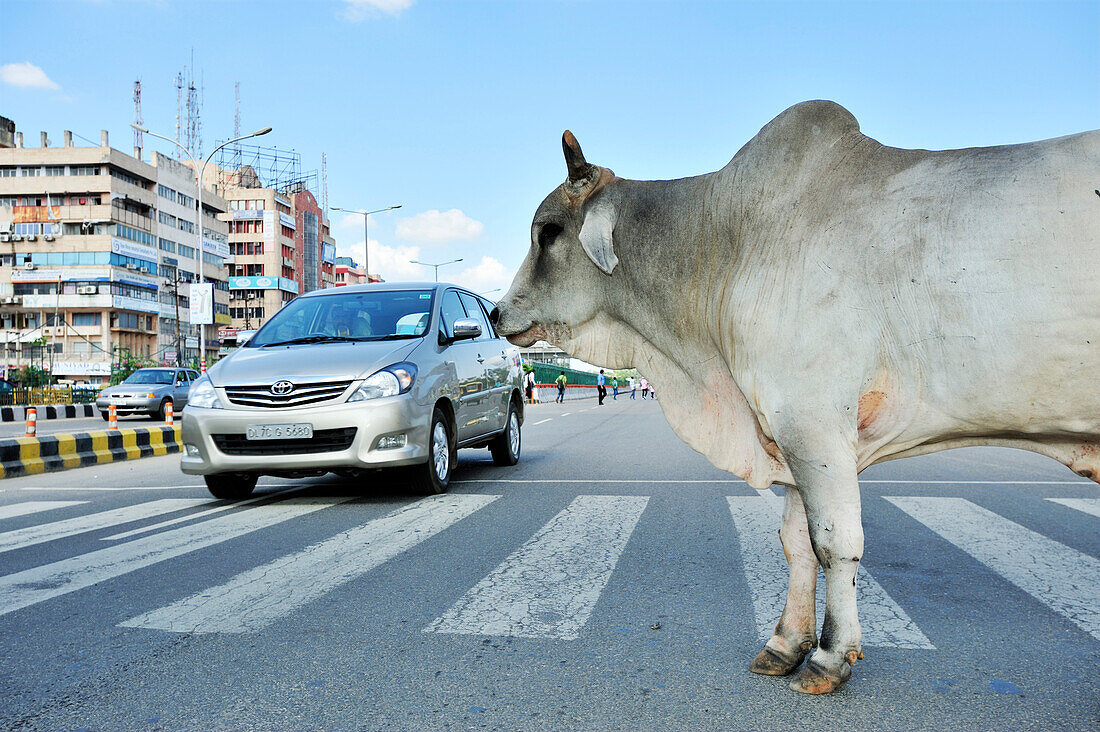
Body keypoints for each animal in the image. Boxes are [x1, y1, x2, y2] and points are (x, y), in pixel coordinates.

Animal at [492, 101, 1100, 691]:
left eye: (548, 231)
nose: (496, 313)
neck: (726, 243)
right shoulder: (787, 433)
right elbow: (795, 542)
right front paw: (786, 643)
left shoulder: (814, 424)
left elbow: (834, 541)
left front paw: (830, 655)